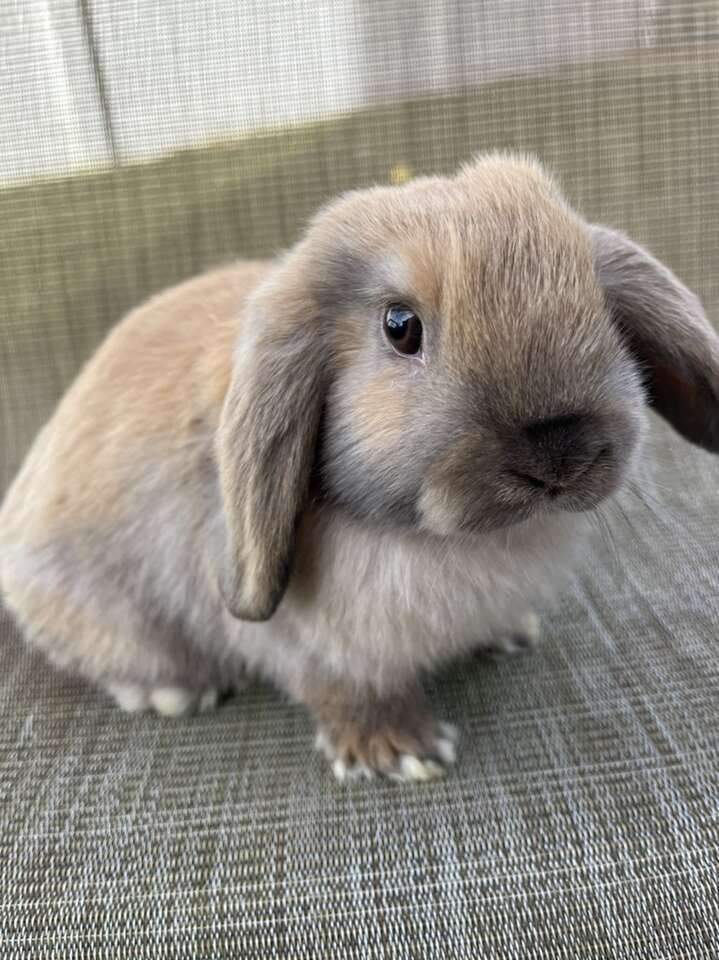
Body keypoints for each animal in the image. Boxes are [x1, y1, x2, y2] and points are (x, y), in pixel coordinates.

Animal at [1, 154, 719, 784]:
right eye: (400, 326)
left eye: (599, 307)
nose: (558, 454)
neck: (447, 540)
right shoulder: (314, 644)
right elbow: (346, 687)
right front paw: (400, 752)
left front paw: (507, 633)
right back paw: (175, 692)